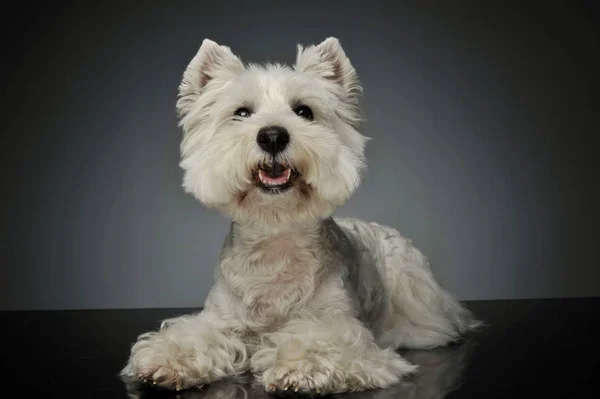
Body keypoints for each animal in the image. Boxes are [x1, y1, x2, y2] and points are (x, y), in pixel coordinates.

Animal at [119, 36, 480, 396]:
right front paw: (167, 359)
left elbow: (318, 340)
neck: (275, 240)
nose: (272, 136)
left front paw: (299, 367)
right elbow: (196, 334)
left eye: (304, 111)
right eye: (241, 112)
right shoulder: (220, 319)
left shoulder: (337, 323)